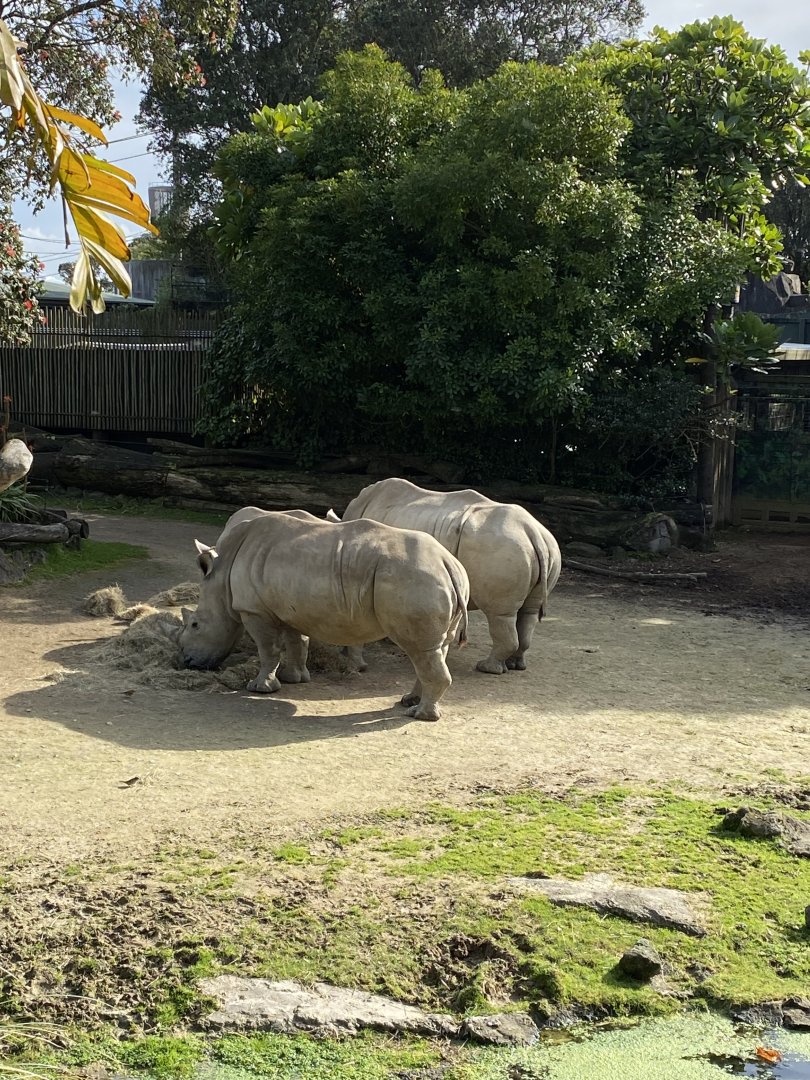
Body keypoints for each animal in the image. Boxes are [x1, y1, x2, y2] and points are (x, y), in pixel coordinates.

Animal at [178, 510, 470, 721]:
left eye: (195, 624)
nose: (187, 661)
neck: (222, 575)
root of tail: (447, 563)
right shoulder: (287, 606)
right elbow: (296, 642)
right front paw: (293, 678)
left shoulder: (255, 610)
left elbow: (268, 649)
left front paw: (259, 688)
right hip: (438, 579)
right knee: (435, 648)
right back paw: (409, 702)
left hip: (414, 579)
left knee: (420, 649)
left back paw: (419, 715)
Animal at [330, 478, 561, 674]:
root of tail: (532, 531)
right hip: (545, 548)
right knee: (528, 612)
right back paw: (515, 665)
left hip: (503, 547)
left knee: (499, 613)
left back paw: (487, 668)